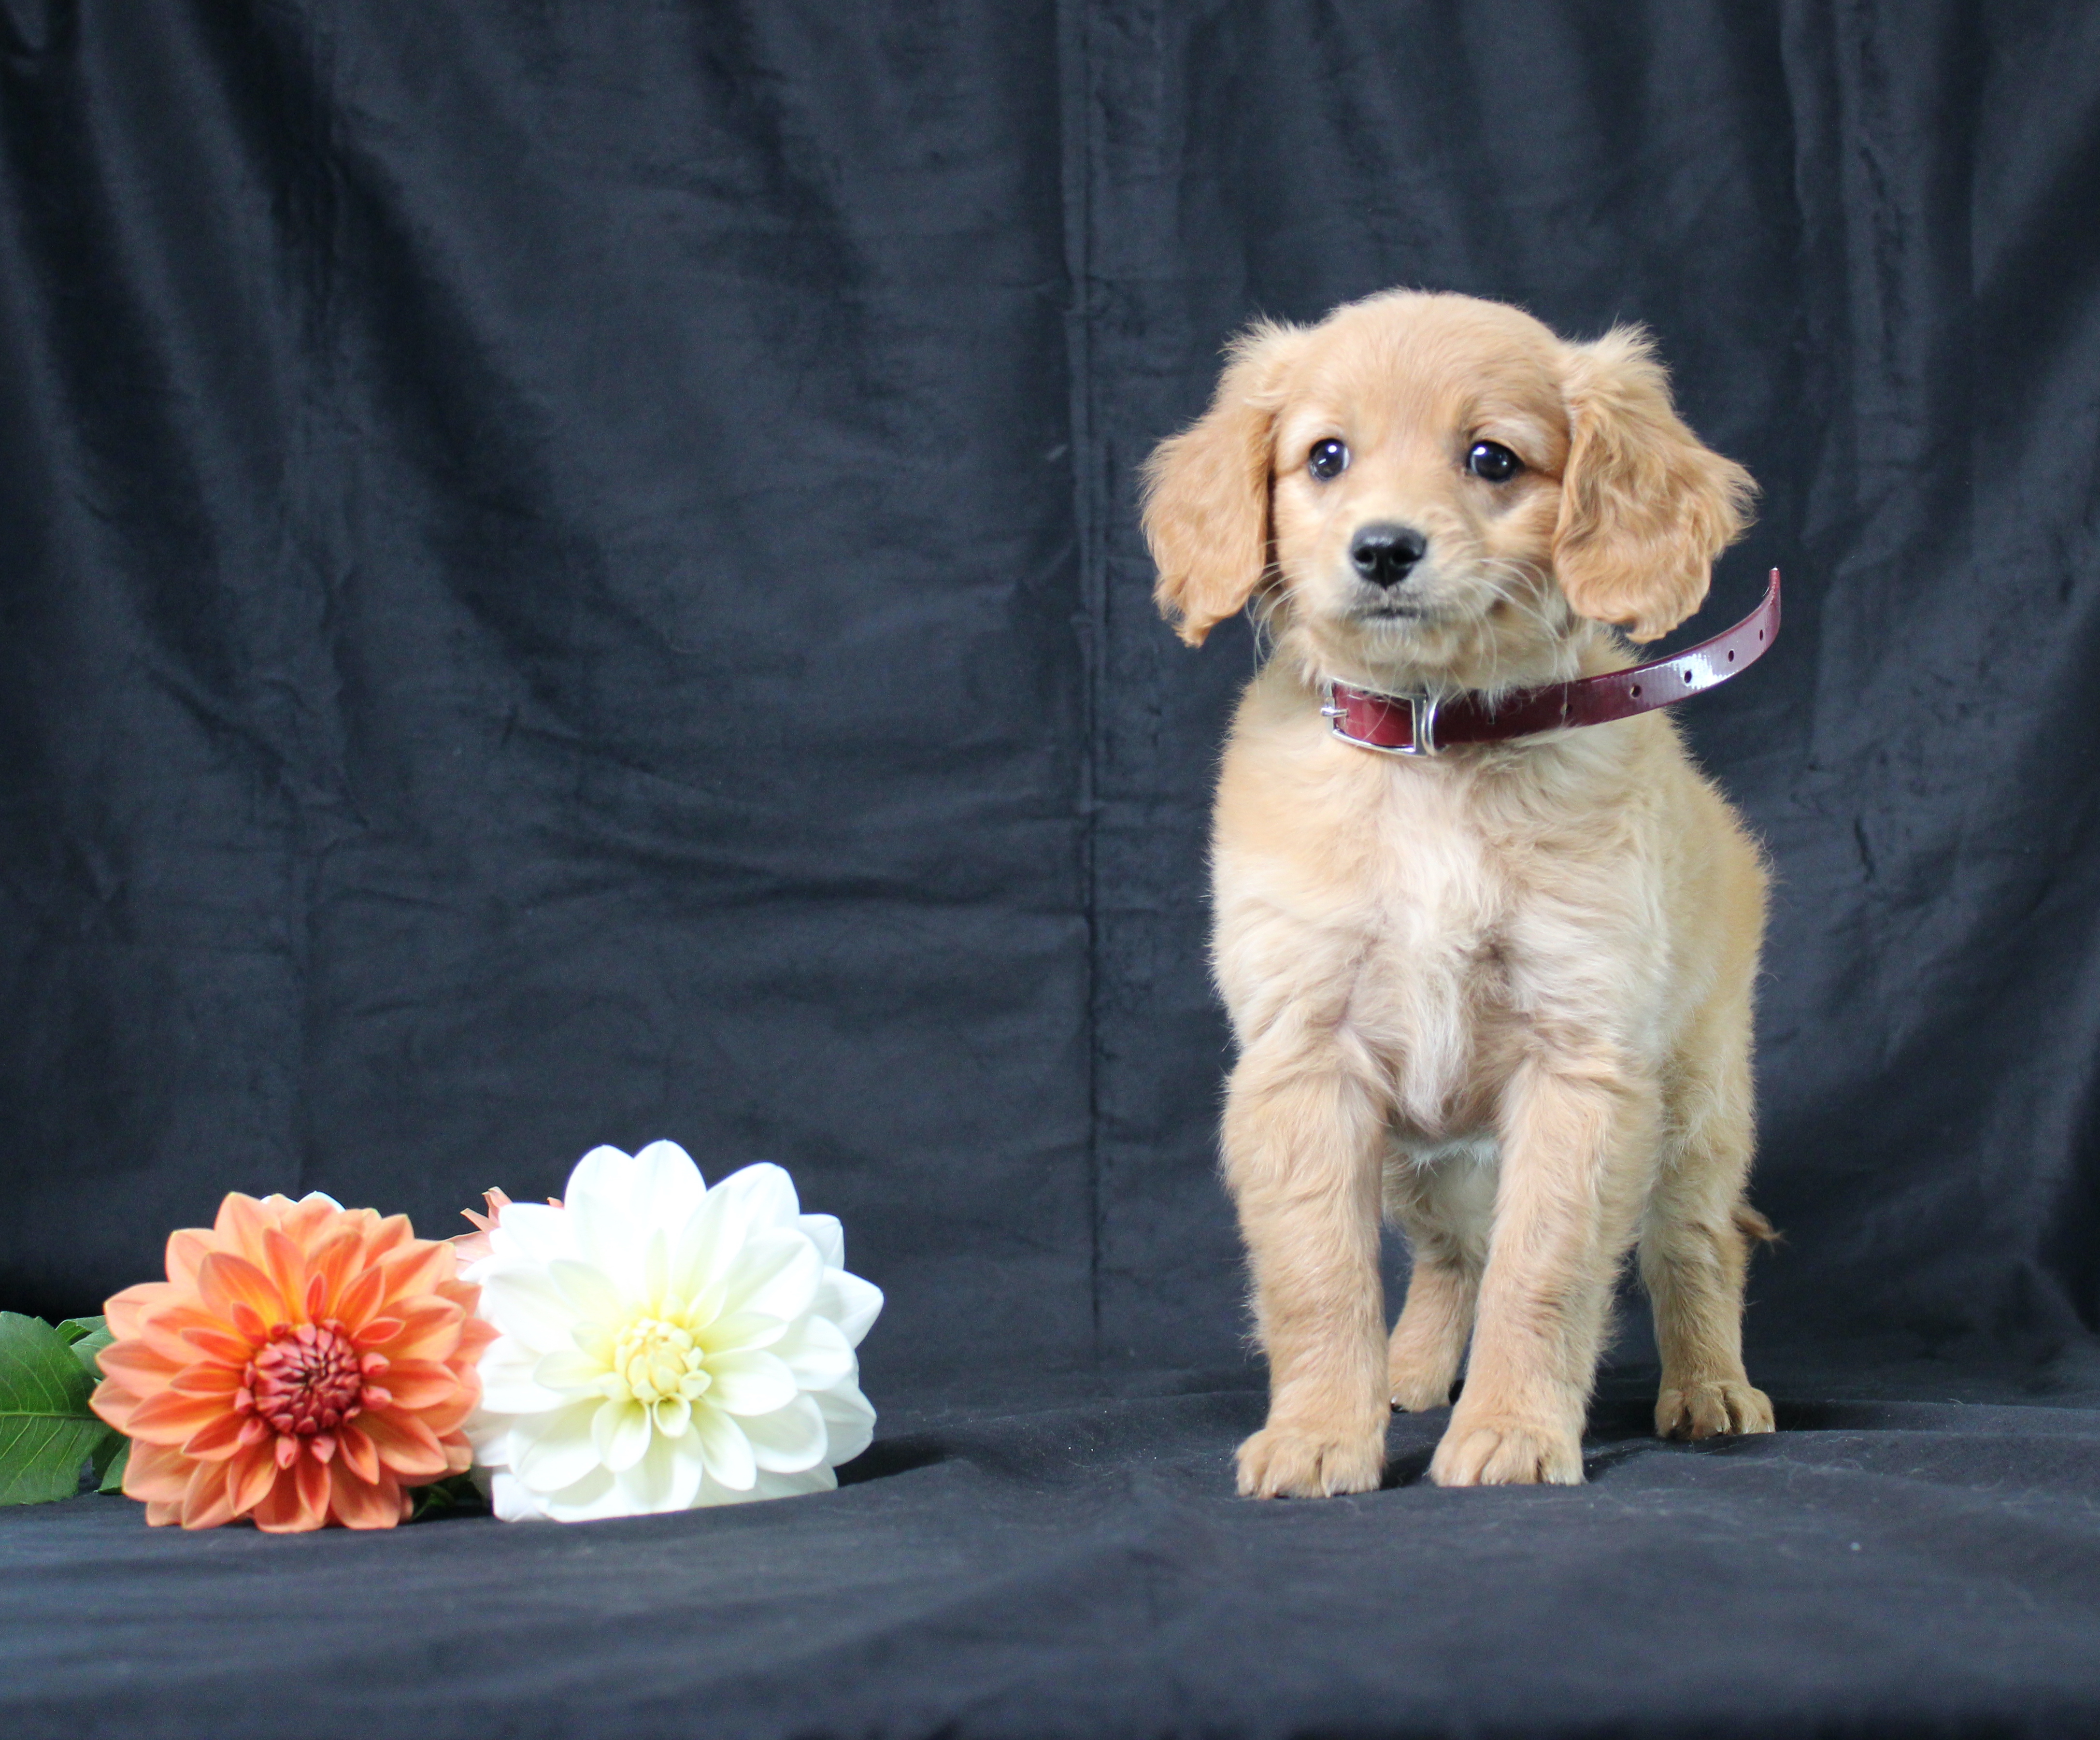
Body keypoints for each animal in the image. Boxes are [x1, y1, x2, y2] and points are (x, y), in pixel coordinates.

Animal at [1151, 291, 1772, 1486]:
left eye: (1492, 458)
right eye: (1325, 457)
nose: (1384, 548)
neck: (1432, 747)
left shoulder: (1582, 1063)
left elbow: (1543, 1270)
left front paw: (1514, 1430)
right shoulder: (1307, 1056)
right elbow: (1318, 1276)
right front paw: (1318, 1434)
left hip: (1696, 1095)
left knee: (1693, 1241)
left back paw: (1710, 1386)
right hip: (1424, 1156)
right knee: (1453, 1252)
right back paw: (1407, 1372)